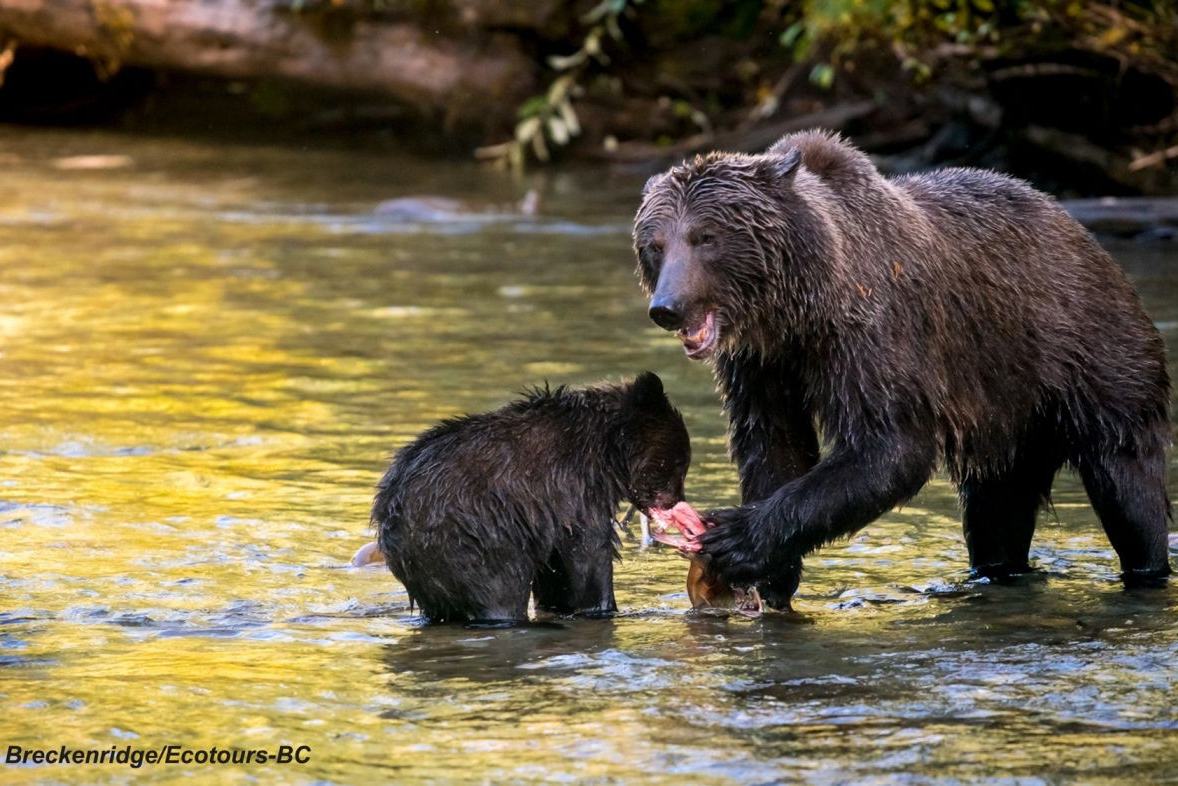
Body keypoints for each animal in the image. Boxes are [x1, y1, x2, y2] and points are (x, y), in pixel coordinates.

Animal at [372, 372, 691, 624]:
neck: (605, 452)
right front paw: (601, 606)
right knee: (499, 590)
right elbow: (587, 554)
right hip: (474, 542)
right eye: (677, 463)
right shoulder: (571, 489)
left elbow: (556, 570)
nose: (674, 501)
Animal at [632, 129, 1172, 609]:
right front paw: (767, 576)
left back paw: (1145, 571)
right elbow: (774, 445)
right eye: (656, 244)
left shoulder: (874, 335)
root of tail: (1084, 235)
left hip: (1091, 355)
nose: (667, 307)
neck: (800, 310)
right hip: (1008, 416)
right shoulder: (763, 366)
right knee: (995, 511)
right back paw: (996, 573)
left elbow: (890, 446)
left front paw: (736, 537)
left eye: (705, 236)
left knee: (1127, 484)